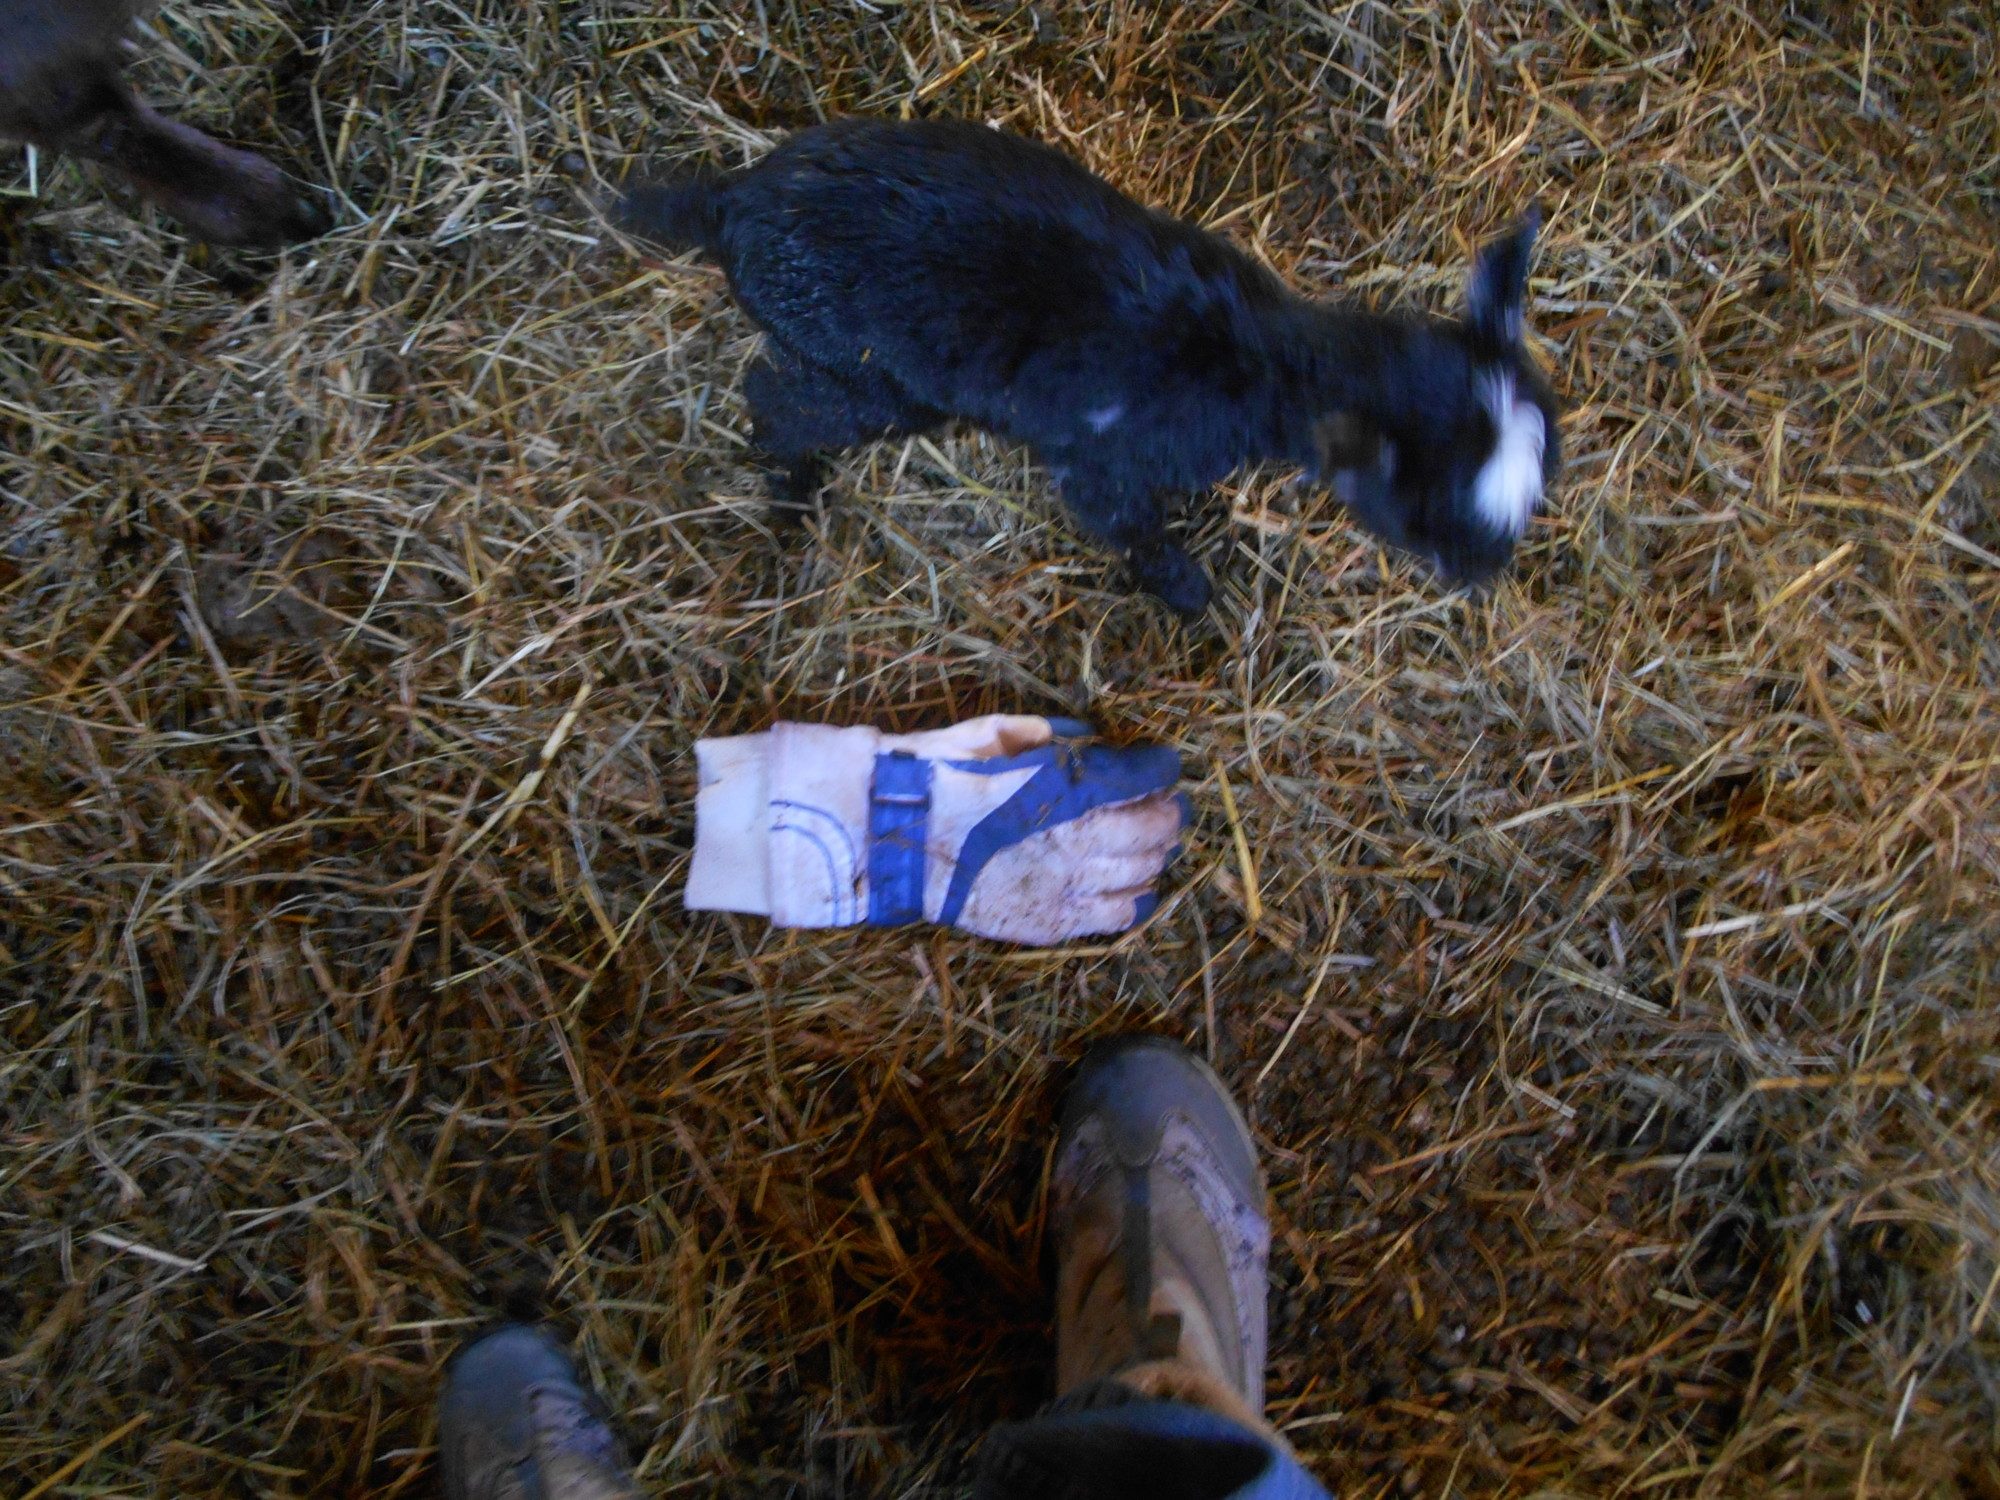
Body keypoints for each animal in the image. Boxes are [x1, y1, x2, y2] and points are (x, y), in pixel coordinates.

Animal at [619, 117, 1560, 616]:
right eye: (1426, 518)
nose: (1487, 576)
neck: (1259, 361)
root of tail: (729, 203)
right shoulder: (1103, 459)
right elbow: (1128, 526)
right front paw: (1190, 594)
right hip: (863, 369)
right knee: (776, 397)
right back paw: (790, 493)